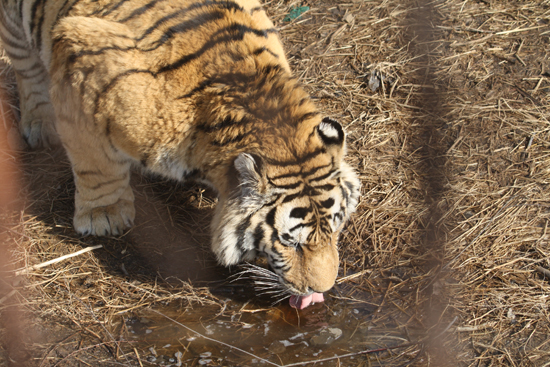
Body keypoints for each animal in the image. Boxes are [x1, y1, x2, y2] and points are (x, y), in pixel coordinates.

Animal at [1, 0, 362, 310]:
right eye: (291, 243)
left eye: (335, 228)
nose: (321, 290)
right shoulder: (78, 59)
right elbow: (95, 161)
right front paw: (104, 215)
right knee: (25, 66)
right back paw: (41, 125)